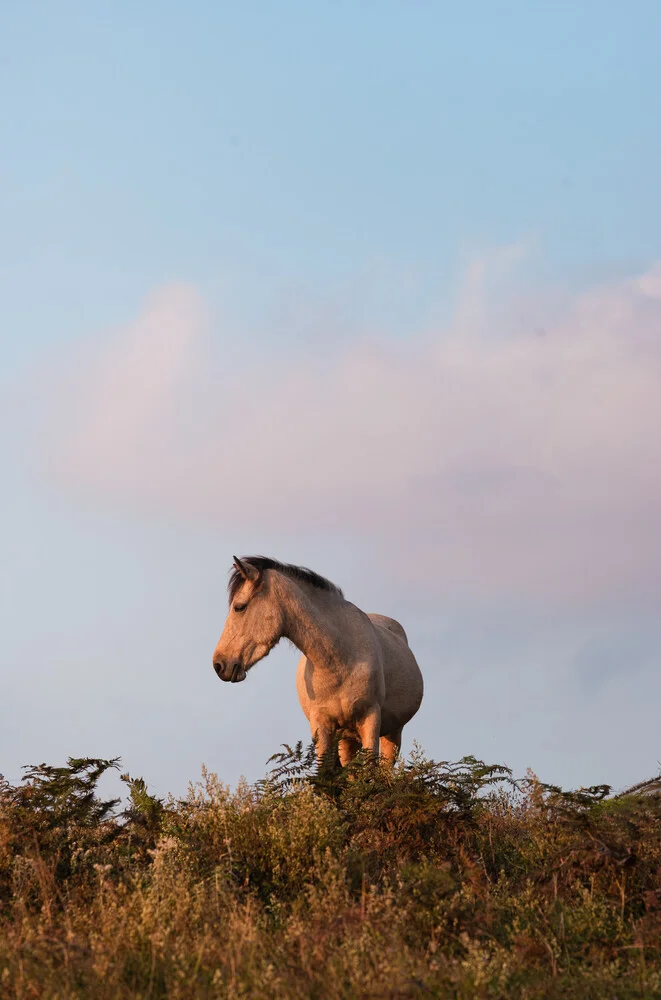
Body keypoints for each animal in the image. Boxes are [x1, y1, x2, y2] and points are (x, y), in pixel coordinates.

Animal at [214, 556, 426, 764]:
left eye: (239, 607)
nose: (218, 664)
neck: (339, 661)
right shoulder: (321, 726)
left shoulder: (371, 719)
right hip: (347, 739)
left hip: (392, 733)